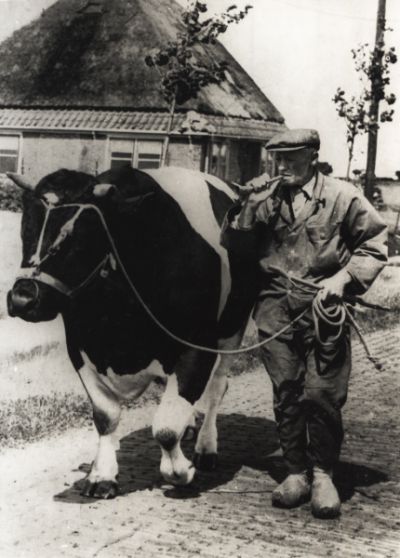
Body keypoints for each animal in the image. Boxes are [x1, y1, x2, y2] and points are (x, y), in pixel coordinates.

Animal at [7, 165, 258, 499]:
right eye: (27, 226)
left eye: (80, 234)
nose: (22, 299)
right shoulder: (80, 346)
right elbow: (105, 416)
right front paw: (101, 475)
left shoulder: (196, 346)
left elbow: (166, 427)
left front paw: (181, 471)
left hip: (234, 327)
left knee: (218, 386)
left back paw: (205, 448)